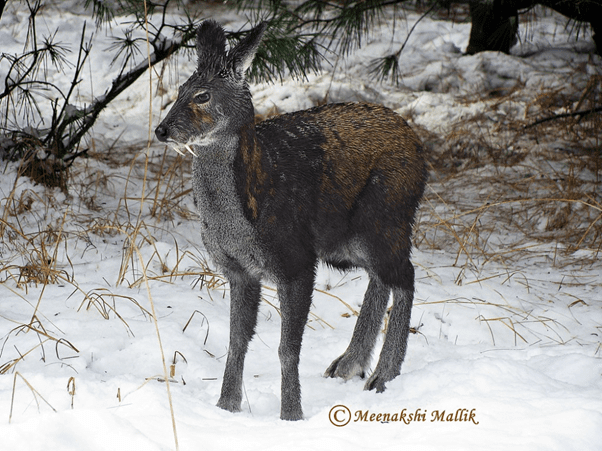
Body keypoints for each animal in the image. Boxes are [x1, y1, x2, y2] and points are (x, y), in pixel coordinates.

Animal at [155, 17, 426, 420]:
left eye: (202, 96)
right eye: (179, 90)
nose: (162, 130)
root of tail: (418, 146)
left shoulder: (296, 260)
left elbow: (287, 348)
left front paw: (291, 414)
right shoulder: (239, 270)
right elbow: (236, 341)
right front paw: (226, 407)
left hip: (385, 216)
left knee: (404, 274)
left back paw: (382, 376)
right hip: (345, 240)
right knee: (382, 277)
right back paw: (348, 365)